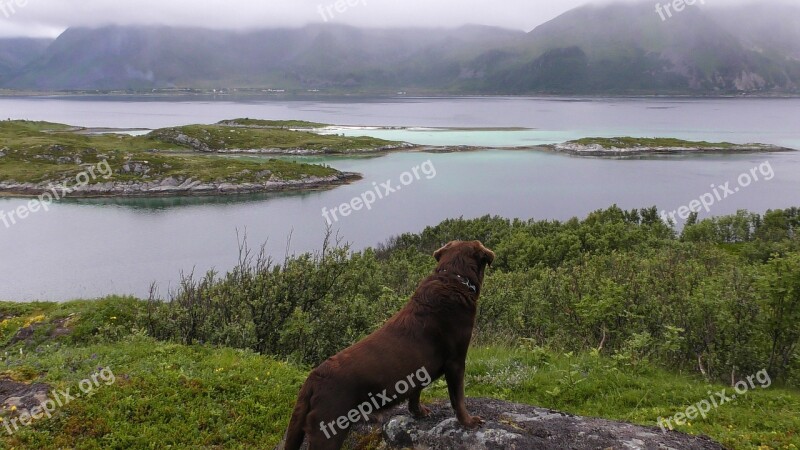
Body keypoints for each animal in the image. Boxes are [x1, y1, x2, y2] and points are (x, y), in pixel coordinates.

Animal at [282, 241, 494, 448]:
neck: (452, 278)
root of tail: (313, 378)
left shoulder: (419, 369)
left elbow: (415, 392)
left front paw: (418, 412)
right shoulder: (456, 361)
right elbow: (458, 398)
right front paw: (469, 421)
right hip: (329, 430)